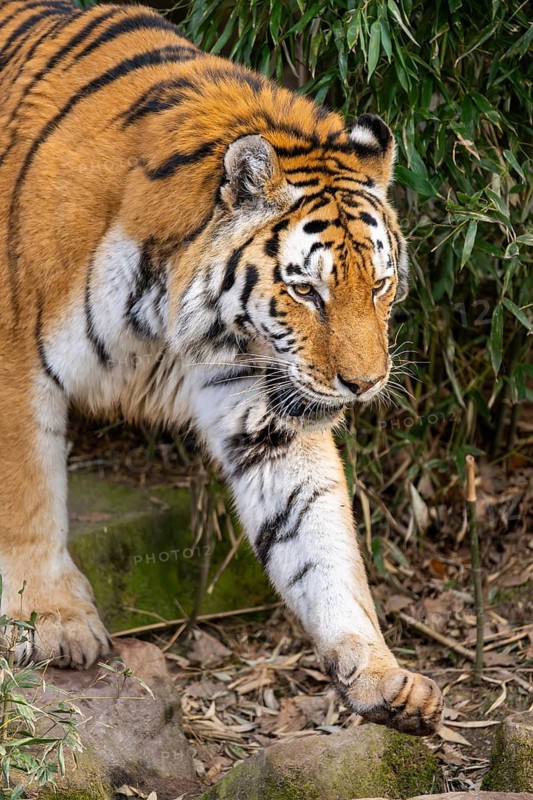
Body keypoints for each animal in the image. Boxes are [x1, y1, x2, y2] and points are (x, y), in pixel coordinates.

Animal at [0, 0, 443, 736]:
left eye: (380, 285)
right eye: (306, 291)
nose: (364, 384)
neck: (175, 318)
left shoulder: (263, 406)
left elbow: (317, 537)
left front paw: (380, 674)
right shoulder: (18, 364)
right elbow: (29, 498)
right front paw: (55, 622)